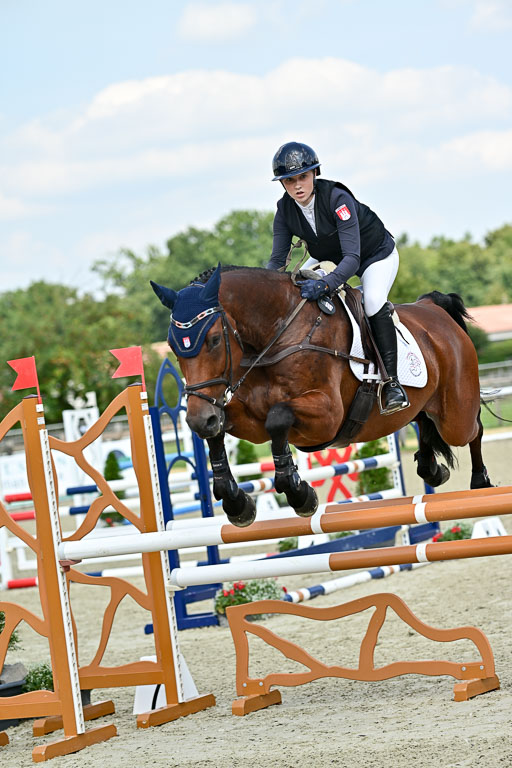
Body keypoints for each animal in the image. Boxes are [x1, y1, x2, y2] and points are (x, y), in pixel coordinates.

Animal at [151, 264, 492, 527]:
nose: (198, 420)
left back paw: (481, 482)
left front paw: (299, 493)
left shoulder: (326, 416)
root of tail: (433, 309)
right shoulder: (247, 420)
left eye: (212, 340)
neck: (277, 334)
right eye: (172, 347)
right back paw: (431, 469)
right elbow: (222, 431)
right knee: (423, 421)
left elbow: (278, 418)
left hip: (455, 415)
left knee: (473, 429)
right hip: (423, 406)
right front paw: (237, 502)